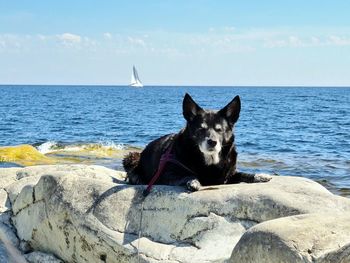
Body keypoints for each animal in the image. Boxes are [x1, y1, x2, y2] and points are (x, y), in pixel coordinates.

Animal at [123, 93, 270, 192]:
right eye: (201, 129)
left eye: (219, 129)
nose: (212, 142)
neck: (209, 162)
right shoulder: (167, 174)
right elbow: (188, 175)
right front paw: (193, 182)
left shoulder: (230, 175)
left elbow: (244, 174)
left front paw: (259, 176)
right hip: (132, 156)